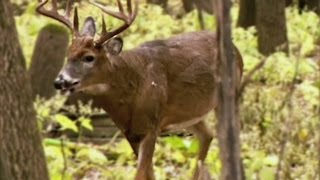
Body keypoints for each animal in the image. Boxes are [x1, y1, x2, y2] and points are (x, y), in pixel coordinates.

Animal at [37, 0, 242, 179]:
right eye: (68, 54)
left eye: (89, 57)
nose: (60, 81)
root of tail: (236, 50)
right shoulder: (130, 132)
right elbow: (149, 174)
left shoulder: (152, 126)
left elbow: (141, 174)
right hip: (190, 113)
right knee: (207, 135)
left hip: (230, 94)